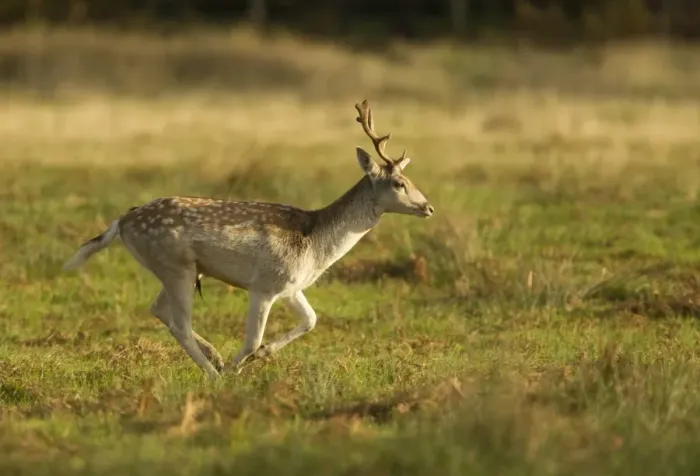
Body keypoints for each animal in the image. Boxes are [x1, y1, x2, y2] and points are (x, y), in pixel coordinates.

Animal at [62, 100, 434, 379]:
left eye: (410, 178)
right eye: (399, 183)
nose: (428, 207)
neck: (316, 244)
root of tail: (122, 221)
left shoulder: (291, 286)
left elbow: (311, 320)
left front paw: (258, 357)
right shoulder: (264, 285)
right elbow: (253, 339)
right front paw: (236, 368)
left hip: (181, 270)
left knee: (159, 309)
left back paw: (214, 356)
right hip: (174, 265)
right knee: (179, 321)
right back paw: (214, 373)